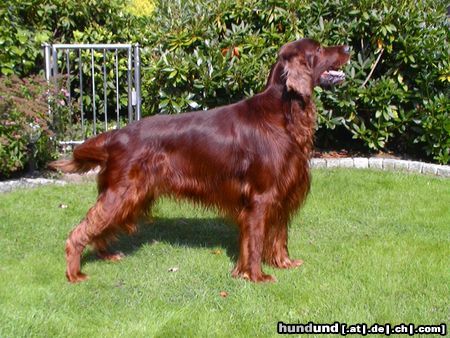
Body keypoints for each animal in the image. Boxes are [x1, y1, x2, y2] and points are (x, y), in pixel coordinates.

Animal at [51, 39, 350, 282]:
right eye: (319, 49)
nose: (348, 47)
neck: (283, 114)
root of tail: (117, 134)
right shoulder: (261, 196)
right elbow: (255, 241)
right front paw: (256, 276)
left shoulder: (282, 192)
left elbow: (279, 236)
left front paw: (283, 263)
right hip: (122, 192)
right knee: (81, 230)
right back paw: (74, 273)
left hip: (132, 195)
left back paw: (107, 255)